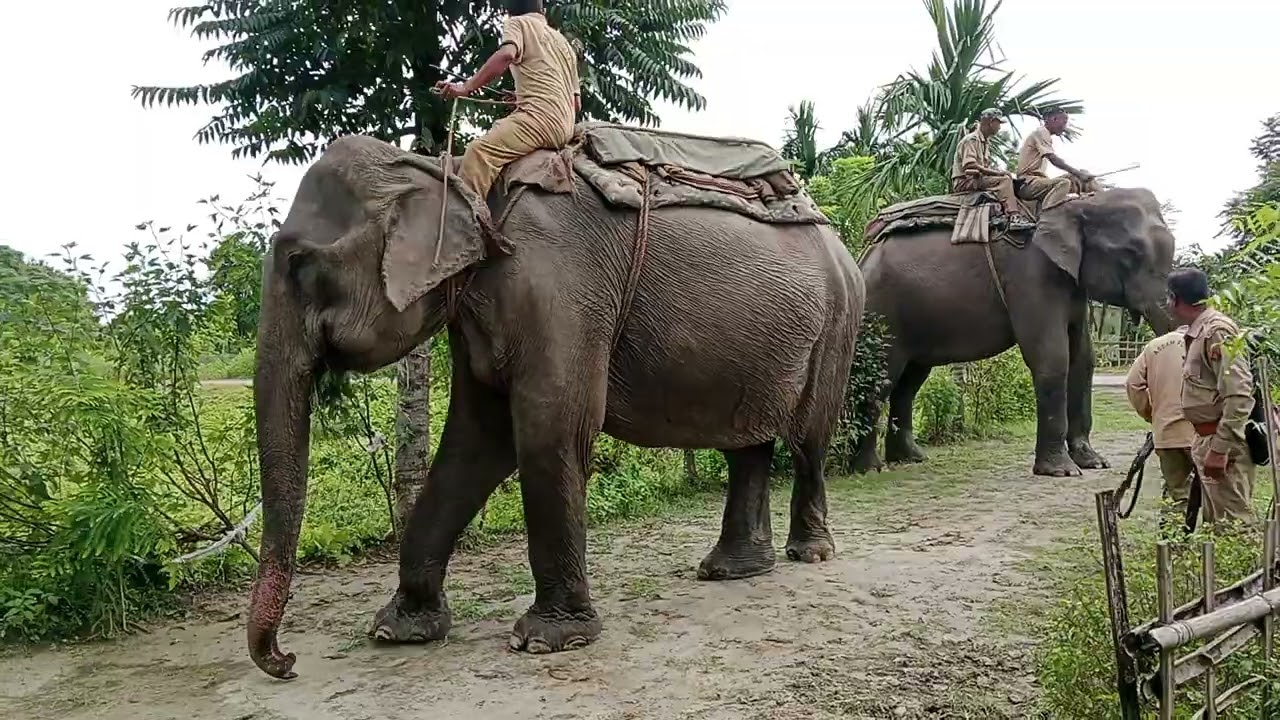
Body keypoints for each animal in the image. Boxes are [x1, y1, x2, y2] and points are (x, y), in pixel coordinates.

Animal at [246, 133, 866, 679]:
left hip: (838, 326)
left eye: (299, 264)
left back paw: (808, 554)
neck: (454, 172)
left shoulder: (561, 285)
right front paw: (398, 630)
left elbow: (550, 430)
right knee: (746, 443)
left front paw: (546, 641)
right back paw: (731, 571)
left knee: (808, 440)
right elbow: (476, 440)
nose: (286, 661)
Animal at [853, 187, 1176, 477]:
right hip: (882, 311)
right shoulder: (1031, 276)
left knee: (910, 380)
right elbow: (1052, 356)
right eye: (1130, 254)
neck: (1077, 204)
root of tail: (863, 256)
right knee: (881, 376)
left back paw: (910, 458)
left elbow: (1083, 358)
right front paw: (1062, 472)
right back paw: (870, 469)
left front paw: (1094, 463)